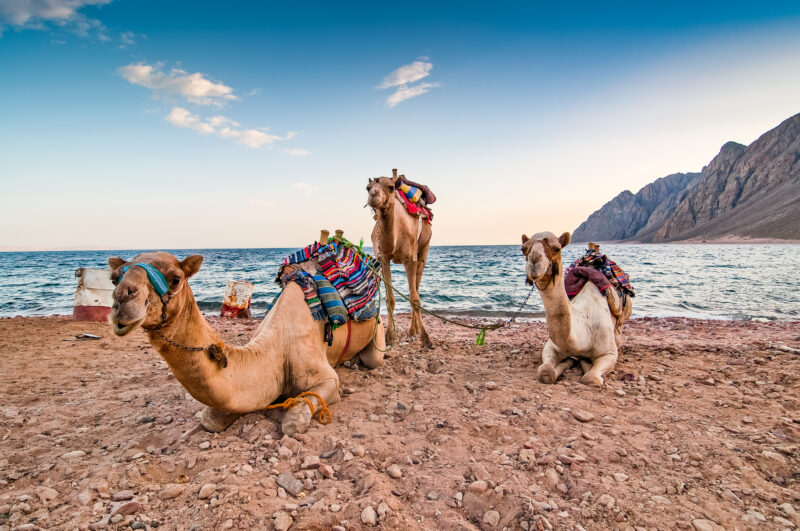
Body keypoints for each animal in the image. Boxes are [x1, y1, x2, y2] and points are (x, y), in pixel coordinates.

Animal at [108, 250, 385, 435]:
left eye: (175, 278)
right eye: (113, 278)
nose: (122, 300)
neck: (275, 348)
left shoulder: (327, 380)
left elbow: (292, 422)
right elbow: (210, 419)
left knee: (373, 358)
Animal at [367, 169, 433, 348]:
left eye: (390, 187)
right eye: (367, 187)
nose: (373, 195)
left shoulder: (410, 259)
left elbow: (415, 299)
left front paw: (426, 338)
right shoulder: (383, 259)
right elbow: (390, 299)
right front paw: (389, 337)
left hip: (423, 251)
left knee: (416, 288)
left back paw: (414, 331)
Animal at [521, 231, 632, 386]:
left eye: (557, 248)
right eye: (523, 249)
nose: (535, 261)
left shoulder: (609, 353)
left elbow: (591, 378)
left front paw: (585, 363)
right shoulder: (551, 346)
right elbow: (546, 371)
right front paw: (570, 361)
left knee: (619, 330)